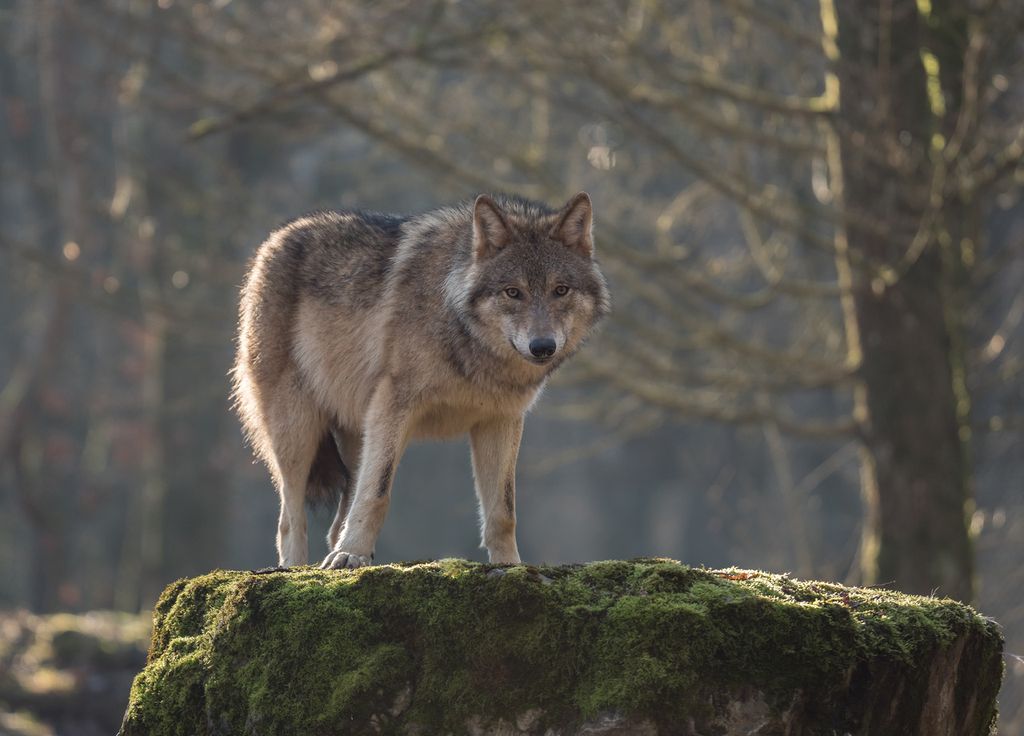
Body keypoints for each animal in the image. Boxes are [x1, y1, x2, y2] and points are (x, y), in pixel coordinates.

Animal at [233, 192, 610, 569]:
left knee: (336, 520)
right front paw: (350, 555)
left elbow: (502, 511)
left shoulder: (500, 420)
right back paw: (297, 568)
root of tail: (275, 238)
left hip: (353, 439)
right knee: (289, 519)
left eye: (560, 290)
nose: (543, 346)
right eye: (513, 292)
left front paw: (510, 566)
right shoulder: (392, 405)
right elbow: (377, 493)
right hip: (297, 430)